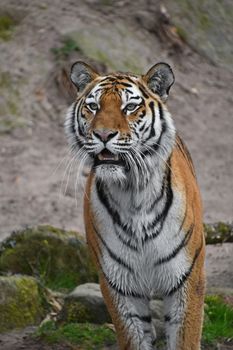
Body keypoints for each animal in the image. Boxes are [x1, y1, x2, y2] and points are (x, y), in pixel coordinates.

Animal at [64, 61, 205, 348]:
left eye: (129, 107)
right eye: (93, 106)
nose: (103, 134)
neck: (133, 194)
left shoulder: (187, 277)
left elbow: (185, 337)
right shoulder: (119, 283)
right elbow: (133, 337)